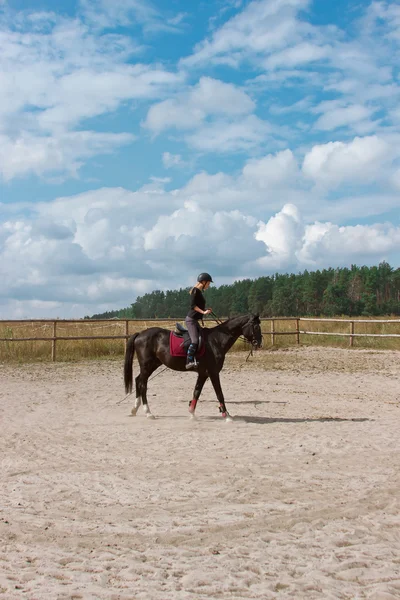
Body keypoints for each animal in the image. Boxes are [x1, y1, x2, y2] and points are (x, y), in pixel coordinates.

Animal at [123, 314, 264, 422]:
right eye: (256, 326)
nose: (259, 343)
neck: (216, 340)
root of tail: (140, 334)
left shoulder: (203, 373)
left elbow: (196, 392)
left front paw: (191, 413)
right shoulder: (213, 373)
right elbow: (219, 394)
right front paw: (227, 415)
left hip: (153, 364)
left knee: (138, 380)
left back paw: (134, 409)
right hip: (147, 365)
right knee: (142, 384)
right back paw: (148, 412)